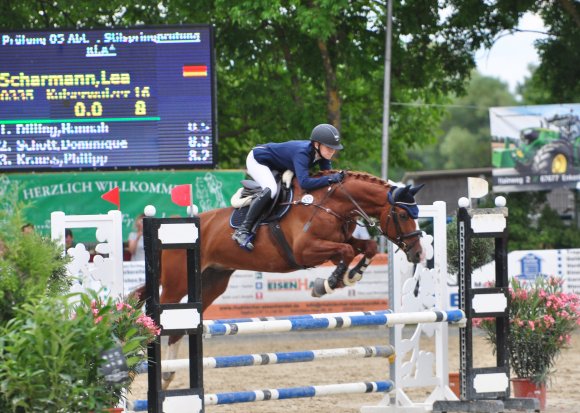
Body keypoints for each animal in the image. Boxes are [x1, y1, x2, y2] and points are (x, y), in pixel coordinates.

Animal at [144, 170, 424, 386]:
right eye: (402, 215)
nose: (418, 253)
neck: (332, 203)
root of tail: (175, 224)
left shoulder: (338, 242)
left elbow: (366, 248)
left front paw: (351, 275)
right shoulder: (305, 250)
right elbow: (345, 252)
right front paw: (327, 284)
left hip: (212, 282)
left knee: (179, 329)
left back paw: (168, 375)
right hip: (177, 283)